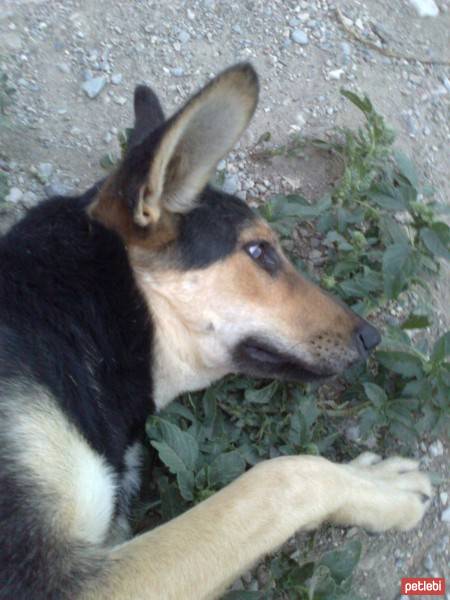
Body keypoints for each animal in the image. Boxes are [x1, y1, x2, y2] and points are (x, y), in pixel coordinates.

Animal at [0, 63, 432, 596]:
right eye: (258, 252)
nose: (371, 337)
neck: (78, 318)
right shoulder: (58, 579)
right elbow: (281, 478)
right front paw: (385, 491)